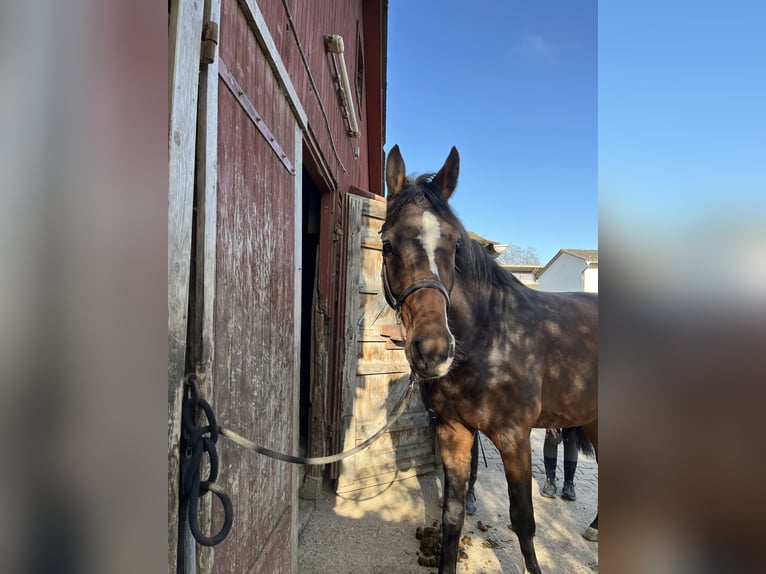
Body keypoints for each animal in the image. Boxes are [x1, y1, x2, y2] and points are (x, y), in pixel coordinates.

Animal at [384, 147, 600, 574]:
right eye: (387, 244)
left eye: (454, 244)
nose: (434, 351)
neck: (491, 336)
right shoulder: (453, 431)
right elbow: (452, 517)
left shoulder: (514, 437)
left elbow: (524, 521)